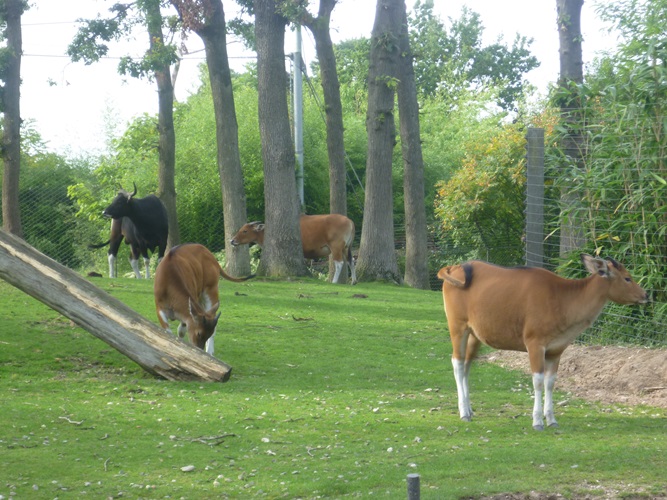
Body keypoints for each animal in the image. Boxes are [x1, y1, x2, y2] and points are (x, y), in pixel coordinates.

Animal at [438, 254, 648, 430]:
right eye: (627, 278)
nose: (646, 295)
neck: (562, 299)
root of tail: (455, 267)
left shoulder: (556, 351)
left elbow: (550, 383)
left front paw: (551, 419)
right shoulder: (535, 345)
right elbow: (538, 382)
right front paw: (538, 420)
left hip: (475, 335)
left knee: (467, 365)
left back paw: (469, 409)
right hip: (458, 327)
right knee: (457, 363)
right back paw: (464, 412)